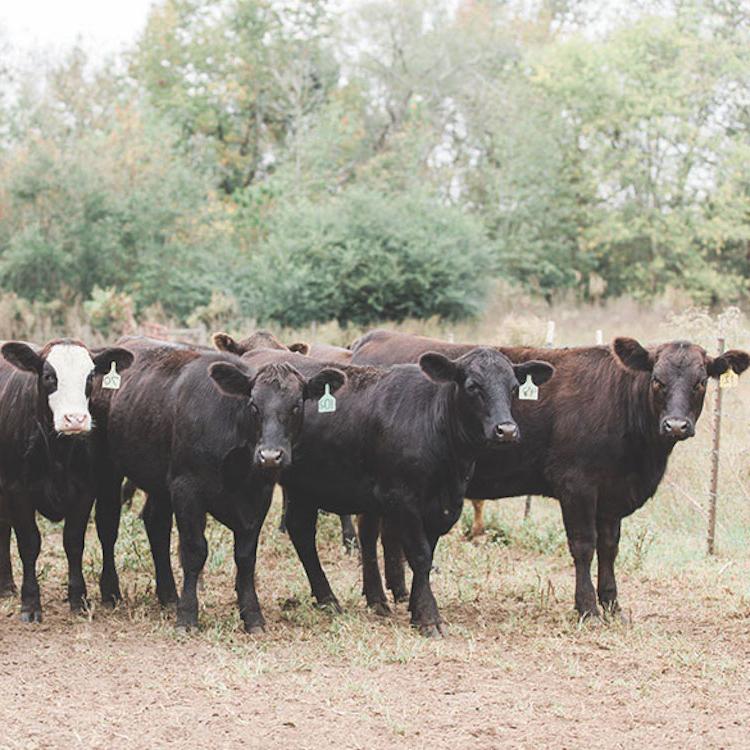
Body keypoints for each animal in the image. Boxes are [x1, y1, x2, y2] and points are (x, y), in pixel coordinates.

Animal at [0, 340, 134, 624]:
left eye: (90, 377)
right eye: (49, 376)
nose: (75, 419)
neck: (57, 450)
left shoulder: (85, 491)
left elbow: (73, 542)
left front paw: (78, 599)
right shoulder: (17, 489)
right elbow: (28, 543)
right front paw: (30, 603)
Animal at [92, 346, 346, 636]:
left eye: (296, 406)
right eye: (253, 405)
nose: (270, 456)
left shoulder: (259, 497)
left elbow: (246, 557)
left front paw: (253, 616)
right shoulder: (186, 488)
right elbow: (195, 551)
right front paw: (187, 616)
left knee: (156, 525)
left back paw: (168, 595)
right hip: (107, 467)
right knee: (108, 525)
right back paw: (111, 592)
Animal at [241, 346, 552, 636]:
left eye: (514, 387)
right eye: (473, 386)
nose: (507, 430)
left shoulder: (441, 506)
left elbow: (426, 555)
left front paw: (415, 606)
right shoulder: (403, 498)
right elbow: (420, 555)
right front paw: (428, 617)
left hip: (304, 485)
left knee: (302, 531)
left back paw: (330, 598)